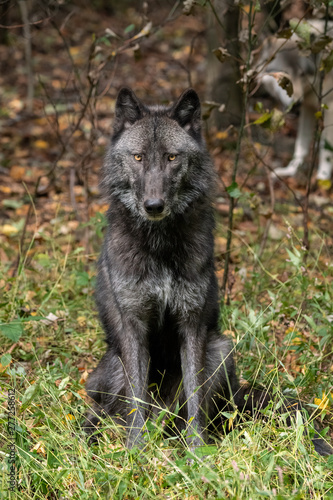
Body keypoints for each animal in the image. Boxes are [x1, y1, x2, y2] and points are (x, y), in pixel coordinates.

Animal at [84, 88, 330, 456]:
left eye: (172, 158)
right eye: (138, 157)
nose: (153, 206)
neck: (160, 245)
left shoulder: (193, 324)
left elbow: (195, 397)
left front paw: (196, 451)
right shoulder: (133, 326)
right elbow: (136, 399)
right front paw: (135, 450)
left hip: (220, 350)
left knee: (187, 414)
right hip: (110, 368)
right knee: (103, 410)